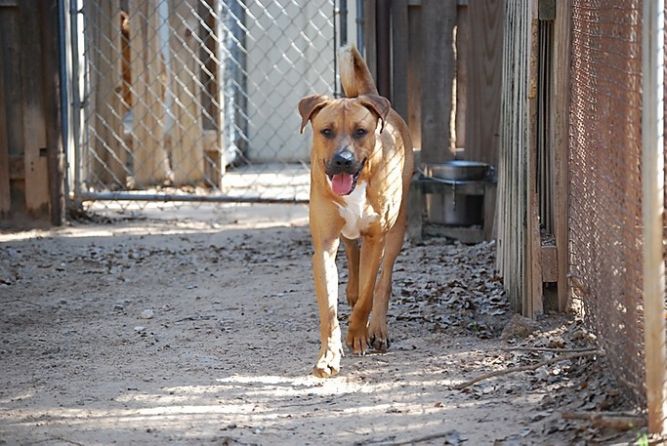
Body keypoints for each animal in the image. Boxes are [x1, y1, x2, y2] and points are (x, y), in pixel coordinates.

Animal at [298, 45, 412, 376]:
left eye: (361, 131)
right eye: (326, 131)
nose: (343, 160)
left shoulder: (376, 238)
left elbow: (367, 295)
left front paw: (358, 334)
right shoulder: (324, 245)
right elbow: (329, 310)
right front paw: (328, 355)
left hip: (397, 228)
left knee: (383, 281)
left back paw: (378, 328)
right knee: (351, 250)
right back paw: (351, 288)